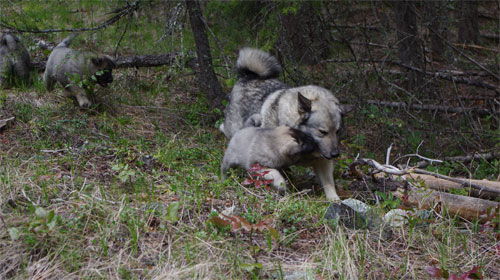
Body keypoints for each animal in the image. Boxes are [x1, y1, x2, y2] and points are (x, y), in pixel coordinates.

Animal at [221, 48, 346, 201]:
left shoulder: (322, 161)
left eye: (338, 131)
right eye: (322, 131)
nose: (335, 154)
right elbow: (273, 173)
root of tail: (247, 76)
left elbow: (328, 182)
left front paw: (334, 199)